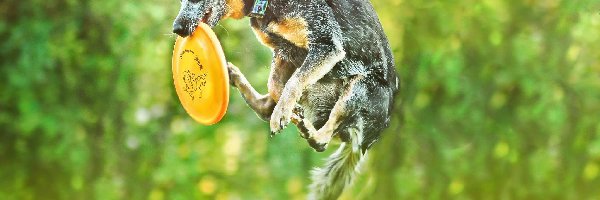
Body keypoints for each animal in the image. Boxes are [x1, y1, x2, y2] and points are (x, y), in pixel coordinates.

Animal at [173, 0, 398, 199]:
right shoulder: (284, 51)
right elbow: (275, 85)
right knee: (267, 107)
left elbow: (293, 83)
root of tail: (366, 144)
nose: (176, 28)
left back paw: (310, 131)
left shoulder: (325, 45)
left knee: (323, 141)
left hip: (360, 88)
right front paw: (287, 108)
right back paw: (234, 76)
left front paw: (283, 111)